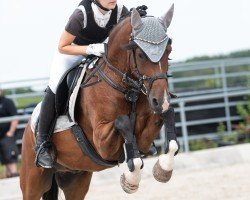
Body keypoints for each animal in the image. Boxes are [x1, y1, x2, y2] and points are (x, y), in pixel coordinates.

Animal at [20, 5, 179, 200]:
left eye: (168, 51)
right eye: (141, 54)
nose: (160, 100)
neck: (124, 87)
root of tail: (28, 127)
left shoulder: (144, 136)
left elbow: (167, 115)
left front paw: (163, 169)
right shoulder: (101, 141)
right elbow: (123, 121)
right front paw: (131, 180)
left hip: (75, 178)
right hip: (33, 182)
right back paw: (43, 155)